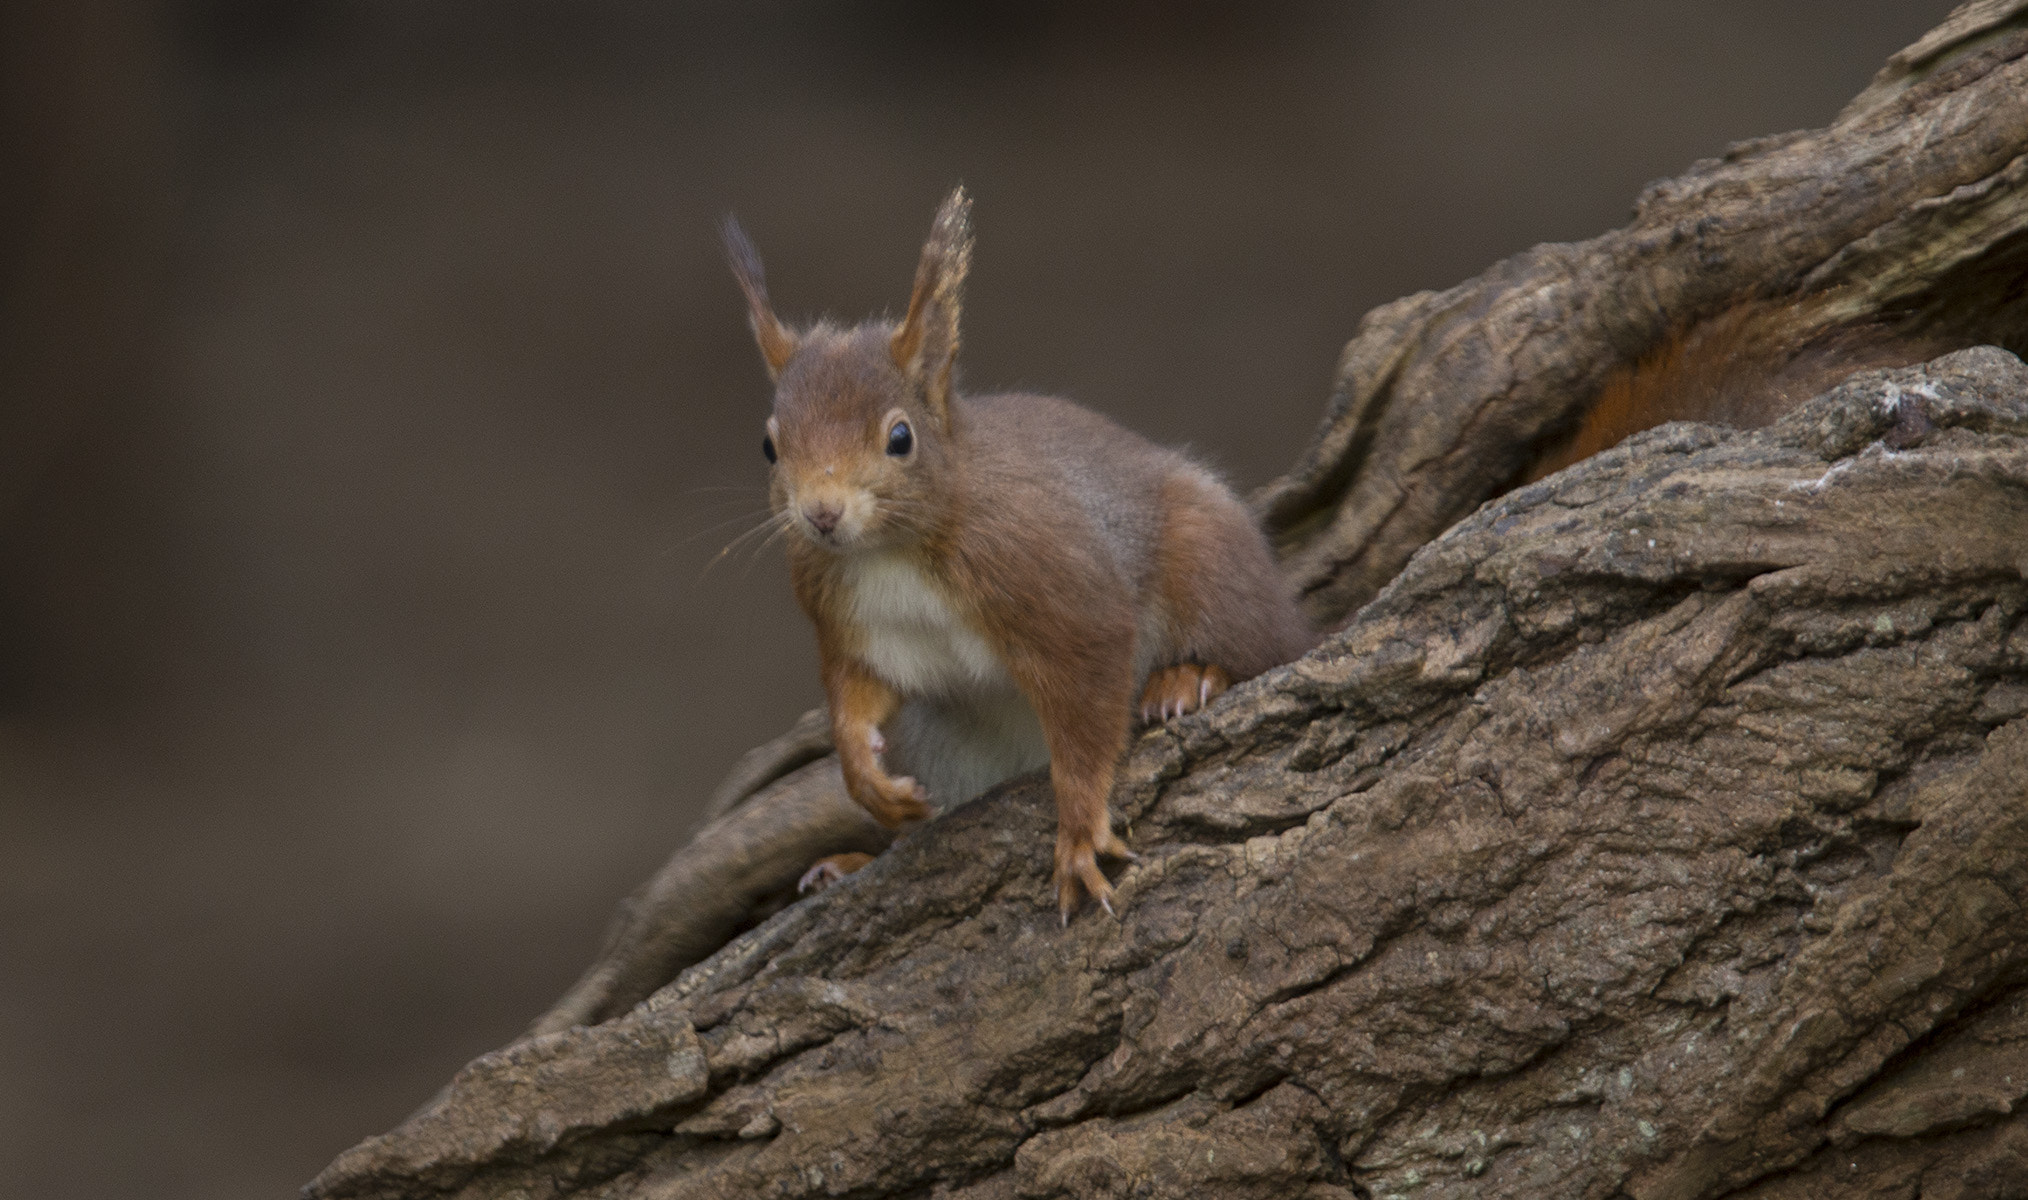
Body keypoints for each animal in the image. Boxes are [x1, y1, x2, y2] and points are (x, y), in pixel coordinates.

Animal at [722, 188, 1314, 919]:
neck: (891, 551)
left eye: (900, 437)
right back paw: (858, 859)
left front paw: (1080, 829)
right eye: (769, 446)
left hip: (1209, 563)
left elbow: (1087, 705)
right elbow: (854, 693)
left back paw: (1189, 678)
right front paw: (869, 782)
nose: (821, 514)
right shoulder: (841, 616)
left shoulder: (1041, 574)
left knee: (1266, 649)